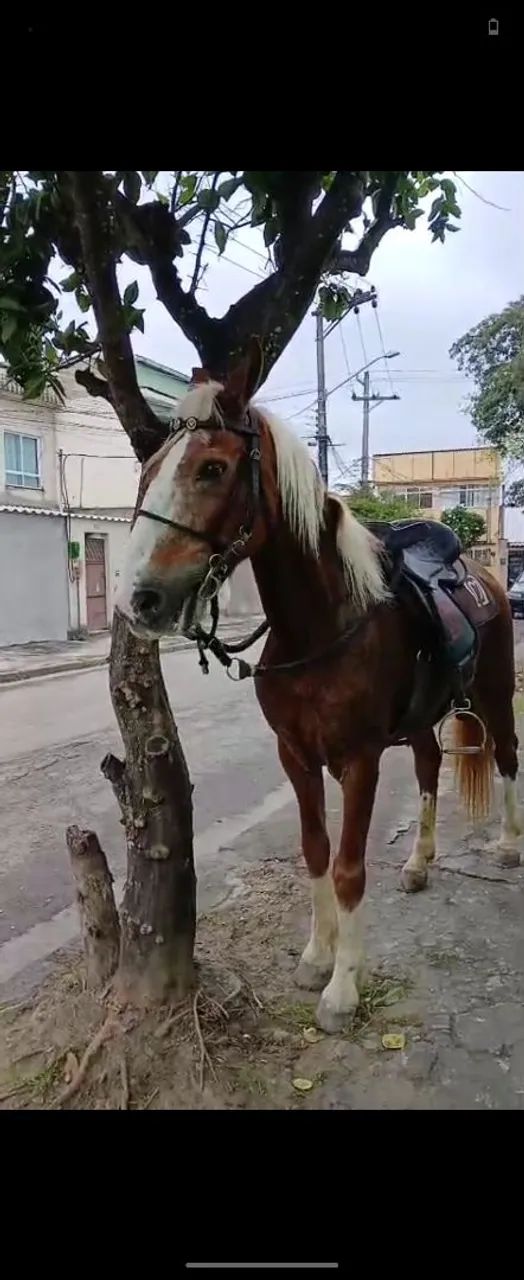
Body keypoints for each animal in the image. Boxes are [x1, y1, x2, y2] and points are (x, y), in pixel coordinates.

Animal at [115, 346, 522, 1034]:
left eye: (213, 468)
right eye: (147, 470)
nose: (139, 599)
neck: (322, 625)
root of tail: (484, 575)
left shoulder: (359, 761)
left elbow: (350, 866)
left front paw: (343, 989)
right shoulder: (296, 756)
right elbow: (314, 851)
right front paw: (315, 958)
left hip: (493, 695)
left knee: (509, 759)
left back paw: (509, 846)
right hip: (421, 722)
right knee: (430, 767)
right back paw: (420, 862)